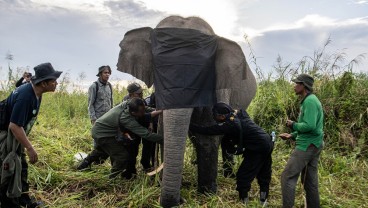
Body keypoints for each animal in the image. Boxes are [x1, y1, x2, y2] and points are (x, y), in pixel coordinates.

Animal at [117, 15, 256, 207]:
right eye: (158, 71)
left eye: (203, 74)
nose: (180, 200)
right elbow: (165, 134)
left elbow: (208, 137)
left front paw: (207, 194)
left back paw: (228, 174)